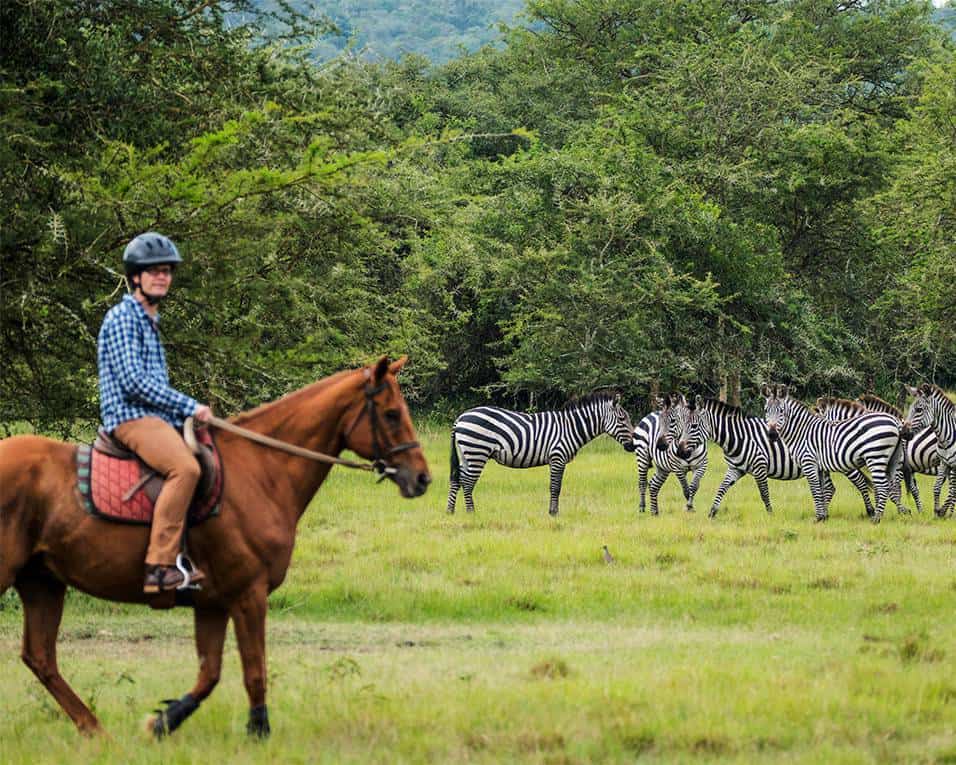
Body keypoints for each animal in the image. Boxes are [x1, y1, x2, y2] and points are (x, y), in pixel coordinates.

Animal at [0, 356, 430, 736]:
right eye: (392, 414)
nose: (422, 478)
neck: (260, 472)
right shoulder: (248, 594)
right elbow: (254, 672)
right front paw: (259, 732)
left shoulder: (212, 603)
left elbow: (209, 674)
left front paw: (161, 723)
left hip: (42, 582)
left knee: (40, 657)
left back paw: (94, 729)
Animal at [448, 394, 636, 512]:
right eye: (622, 419)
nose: (633, 446)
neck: (570, 428)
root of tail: (460, 418)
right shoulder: (558, 457)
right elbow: (555, 487)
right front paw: (553, 513)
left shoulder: (556, 459)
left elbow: (555, 486)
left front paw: (553, 511)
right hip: (476, 452)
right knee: (467, 481)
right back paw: (471, 512)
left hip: (466, 454)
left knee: (457, 479)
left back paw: (450, 511)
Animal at [692, 394, 876, 520]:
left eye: (693, 426)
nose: (684, 453)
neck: (740, 436)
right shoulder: (736, 468)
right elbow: (722, 488)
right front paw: (712, 512)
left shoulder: (759, 466)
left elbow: (764, 493)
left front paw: (770, 515)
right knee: (831, 487)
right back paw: (824, 512)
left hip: (844, 463)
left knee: (860, 483)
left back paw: (870, 511)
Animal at [760, 384, 904, 524]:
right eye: (766, 410)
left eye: (781, 411)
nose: (771, 435)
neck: (802, 432)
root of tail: (894, 420)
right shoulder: (819, 467)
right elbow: (822, 490)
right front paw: (823, 517)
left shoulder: (808, 463)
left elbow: (815, 490)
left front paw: (818, 518)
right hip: (890, 460)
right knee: (891, 486)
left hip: (875, 457)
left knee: (883, 486)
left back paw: (876, 519)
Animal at [904, 384, 956, 516]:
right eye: (910, 408)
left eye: (919, 410)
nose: (903, 432)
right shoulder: (944, 463)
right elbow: (936, 487)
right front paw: (938, 511)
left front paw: (945, 512)